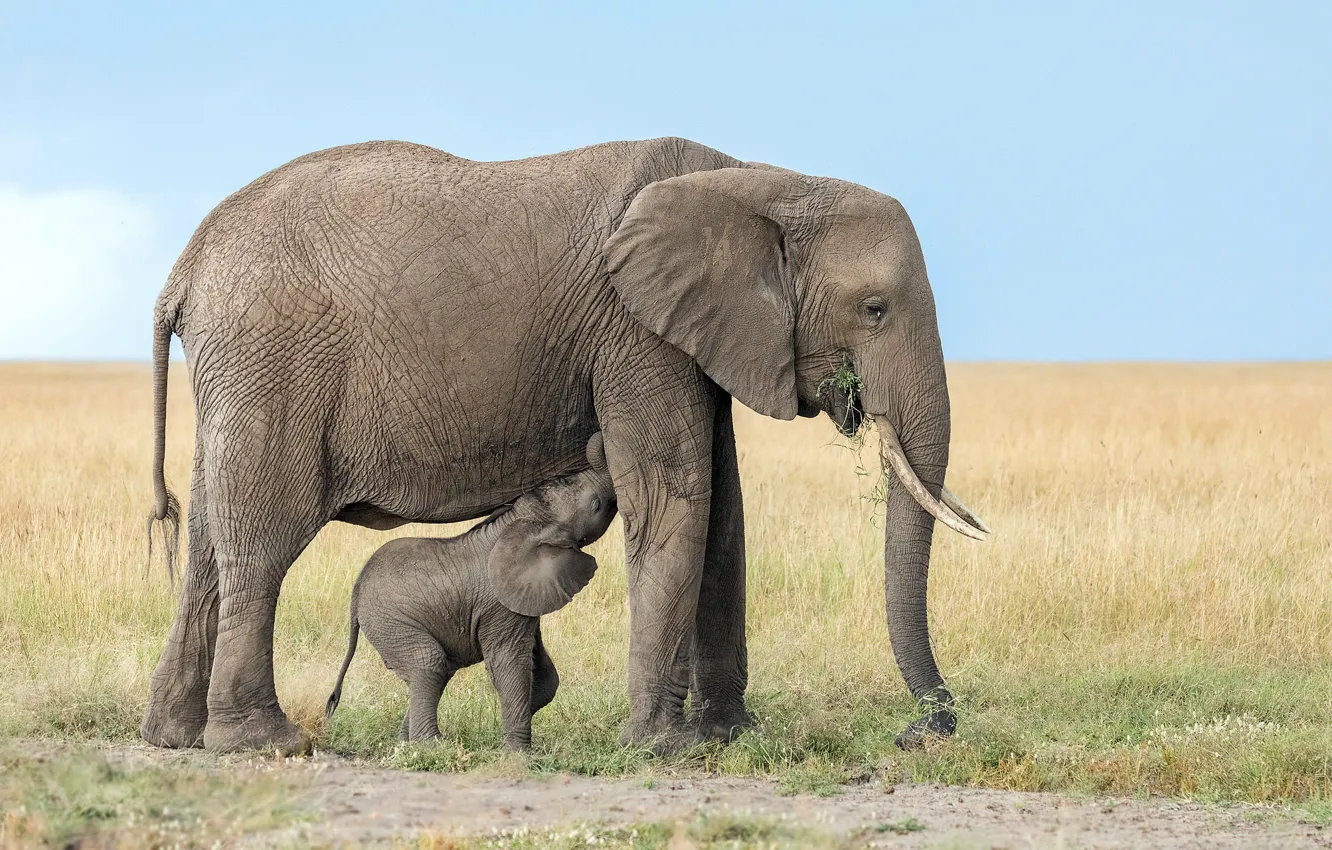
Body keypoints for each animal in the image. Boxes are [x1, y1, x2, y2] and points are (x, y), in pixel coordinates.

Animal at [325, 433, 617, 749]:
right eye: (596, 505)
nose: (598, 434)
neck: (522, 520)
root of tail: (356, 595)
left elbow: (543, 671)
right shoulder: (499, 607)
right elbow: (508, 663)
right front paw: (518, 752)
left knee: (435, 673)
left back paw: (405, 744)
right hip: (391, 622)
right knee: (429, 663)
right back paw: (433, 746)